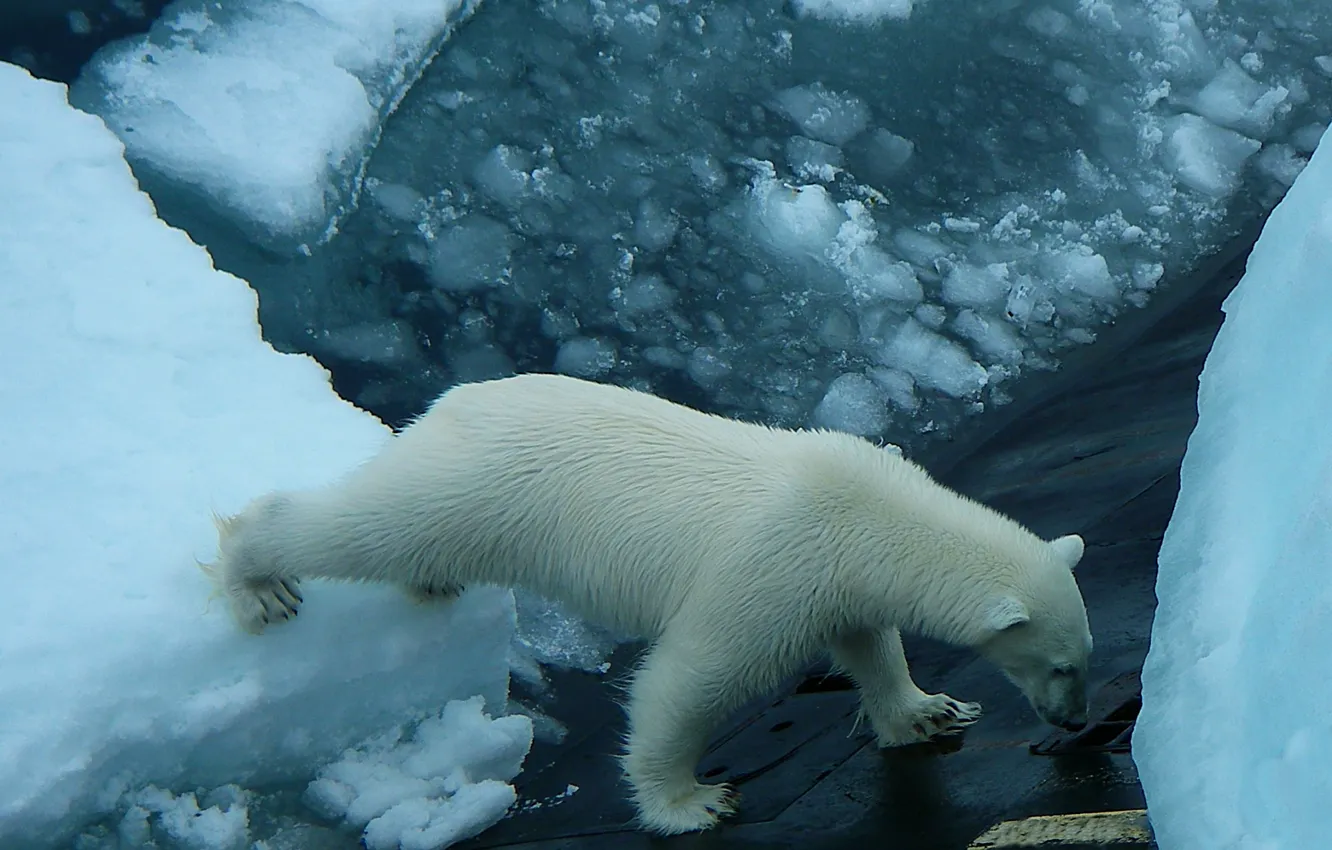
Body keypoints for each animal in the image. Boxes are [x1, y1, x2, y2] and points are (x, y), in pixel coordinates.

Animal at [204, 373, 1092, 835]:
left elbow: (868, 642)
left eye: (1082, 658)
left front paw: (929, 711)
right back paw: (259, 580)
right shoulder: (771, 568)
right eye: (1059, 665)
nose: (1078, 721)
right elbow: (693, 676)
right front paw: (693, 800)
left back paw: (428, 584)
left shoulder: (835, 578)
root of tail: (450, 404)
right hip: (479, 491)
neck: (865, 512)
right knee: (367, 526)